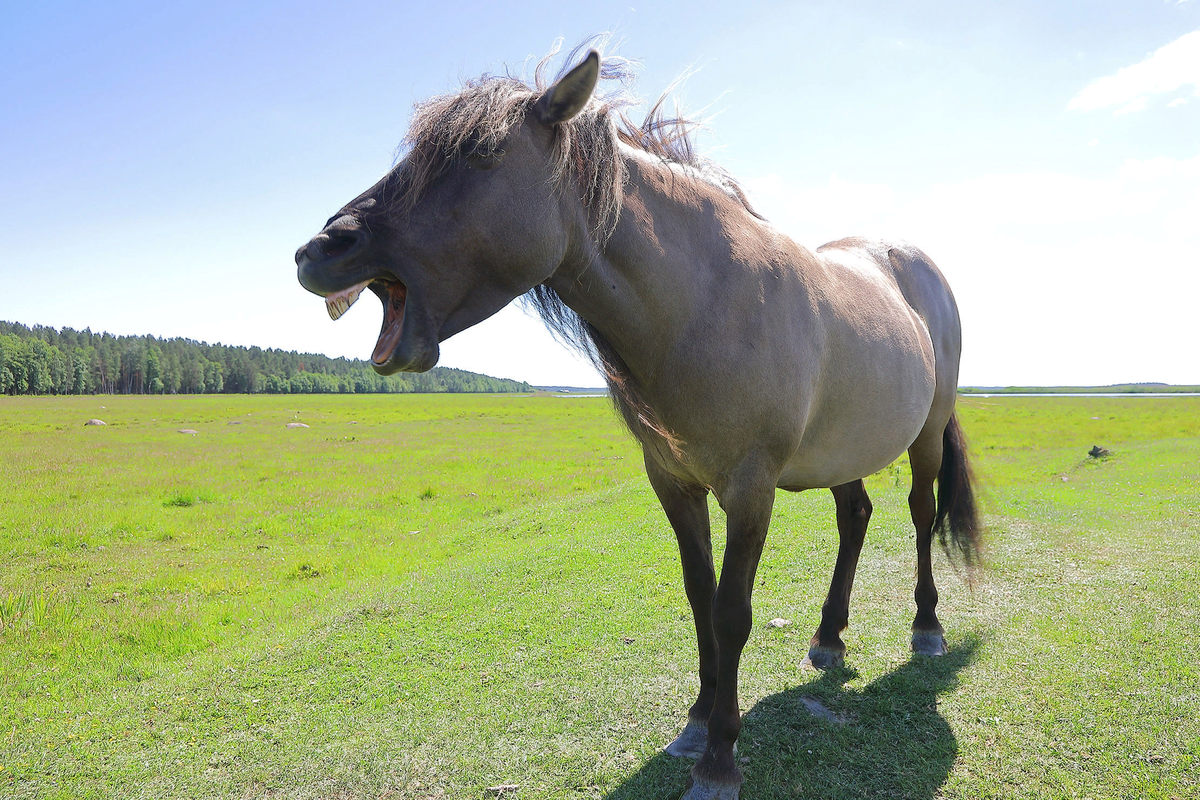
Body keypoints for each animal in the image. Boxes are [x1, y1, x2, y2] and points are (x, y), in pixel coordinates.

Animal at [295, 45, 979, 800]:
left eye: (479, 151)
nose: (318, 250)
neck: (704, 300)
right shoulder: (673, 483)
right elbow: (700, 600)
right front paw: (698, 722)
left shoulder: (750, 488)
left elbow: (732, 613)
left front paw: (720, 758)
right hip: (840, 451)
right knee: (854, 517)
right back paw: (829, 638)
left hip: (925, 434)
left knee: (920, 513)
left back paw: (926, 627)